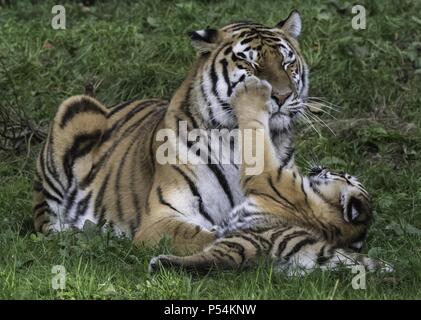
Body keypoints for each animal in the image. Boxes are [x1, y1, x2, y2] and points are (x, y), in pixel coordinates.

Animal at [33, 11, 312, 255]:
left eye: (287, 62)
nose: (282, 96)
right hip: (75, 108)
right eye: (249, 62)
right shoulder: (160, 218)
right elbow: (208, 236)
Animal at [148, 78, 390, 276]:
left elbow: (257, 133)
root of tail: (315, 247)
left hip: (244, 240)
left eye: (344, 176)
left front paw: (252, 91)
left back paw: (162, 263)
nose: (320, 167)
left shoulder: (271, 176)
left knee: (217, 260)